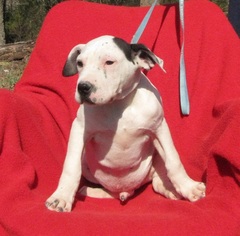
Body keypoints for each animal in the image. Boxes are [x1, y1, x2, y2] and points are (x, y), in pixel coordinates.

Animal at [45, 36, 206, 213]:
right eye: (80, 63)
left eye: (109, 62)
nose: (83, 87)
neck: (118, 105)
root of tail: (126, 191)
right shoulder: (79, 130)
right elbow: (71, 166)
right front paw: (61, 197)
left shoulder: (160, 129)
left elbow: (174, 160)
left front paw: (189, 187)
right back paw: (90, 190)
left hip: (156, 158)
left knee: (157, 181)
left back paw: (170, 189)